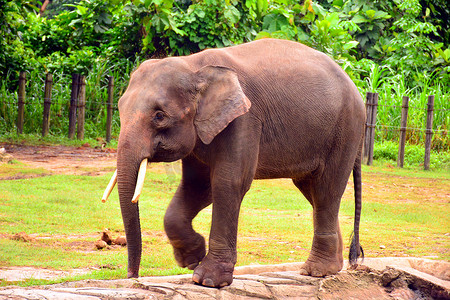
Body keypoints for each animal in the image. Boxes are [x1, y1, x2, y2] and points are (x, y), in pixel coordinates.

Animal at [102, 38, 366, 288]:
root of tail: (354, 84)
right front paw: (192, 259)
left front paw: (207, 280)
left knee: (326, 189)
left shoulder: (244, 119)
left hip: (344, 131)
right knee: (312, 191)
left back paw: (317, 271)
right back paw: (331, 267)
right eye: (120, 108)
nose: (132, 277)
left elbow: (228, 183)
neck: (195, 65)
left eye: (159, 116)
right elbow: (197, 186)